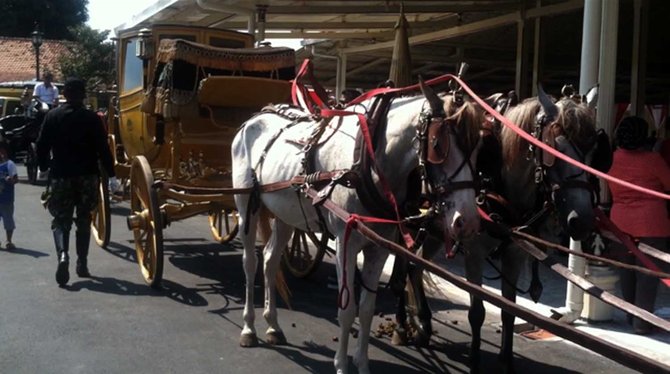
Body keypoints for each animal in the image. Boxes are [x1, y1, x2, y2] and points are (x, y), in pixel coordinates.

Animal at [231, 82, 484, 374]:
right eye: (437, 145)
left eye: (479, 147)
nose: (468, 221)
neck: (369, 162)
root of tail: (253, 119)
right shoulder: (346, 242)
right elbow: (347, 309)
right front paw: (341, 364)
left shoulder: (379, 248)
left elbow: (365, 309)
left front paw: (361, 364)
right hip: (246, 204)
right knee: (250, 263)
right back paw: (248, 328)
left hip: (285, 215)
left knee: (270, 261)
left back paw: (272, 325)